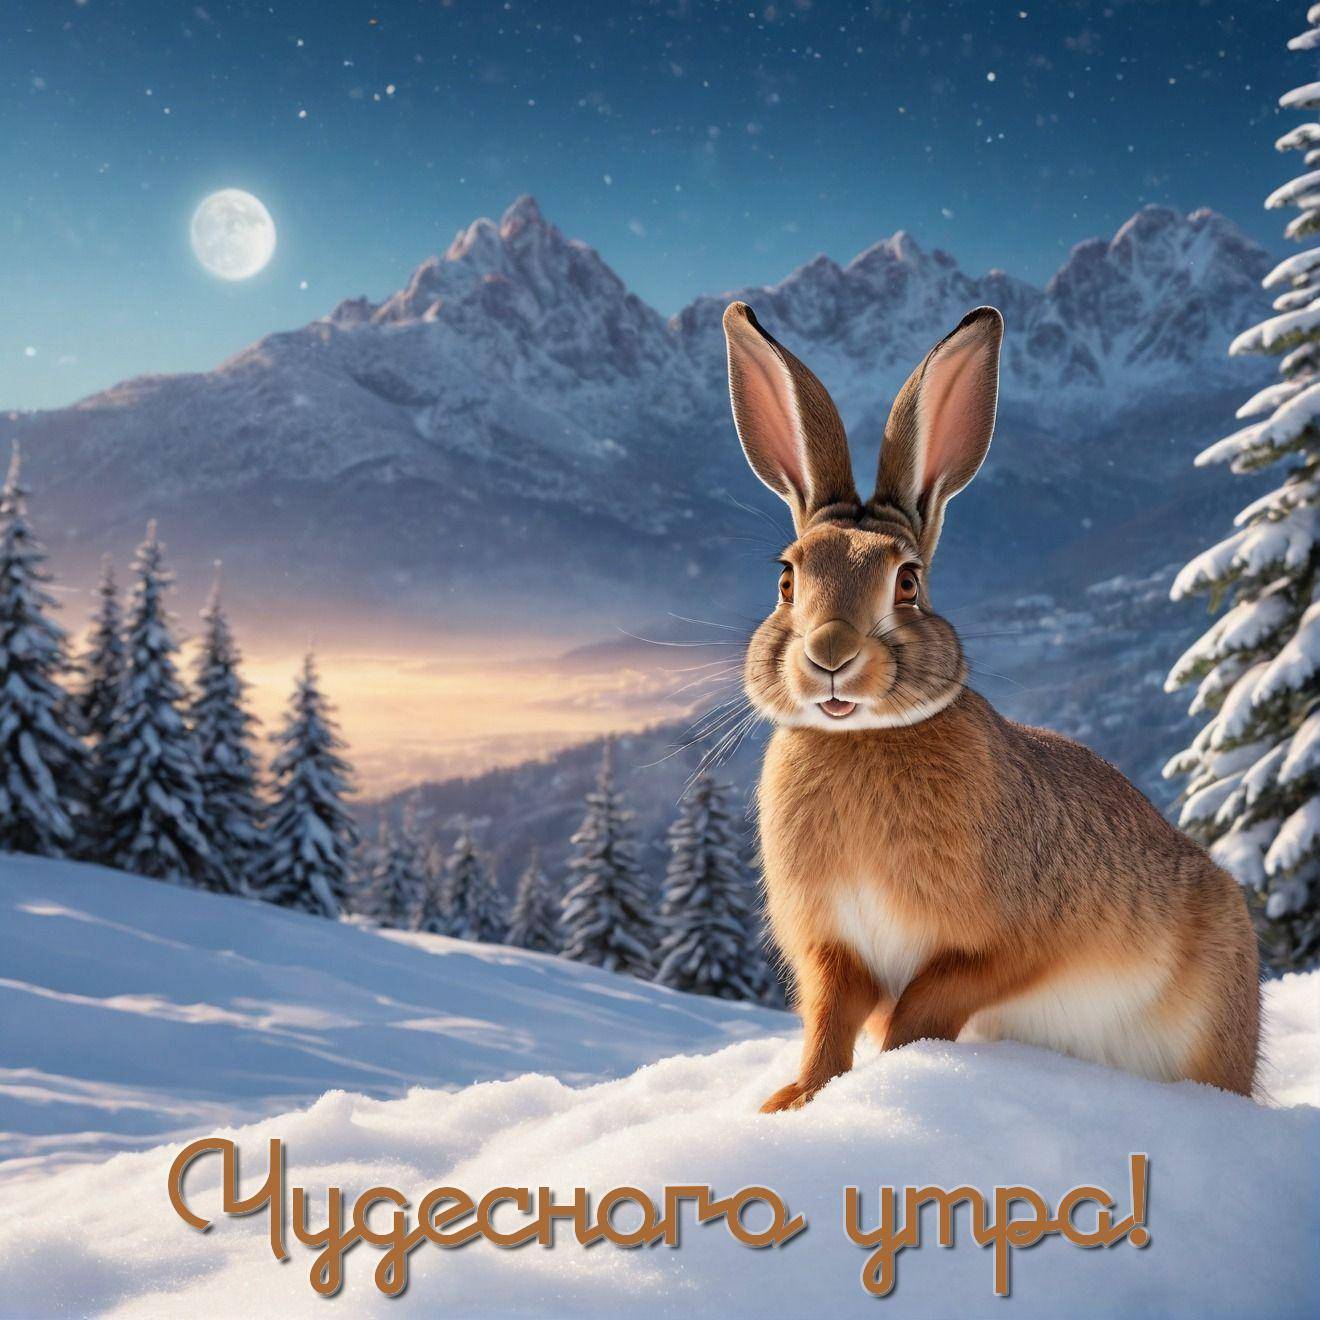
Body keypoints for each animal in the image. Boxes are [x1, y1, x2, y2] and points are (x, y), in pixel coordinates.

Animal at [721, 300, 1261, 1111]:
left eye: (907, 581)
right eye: (787, 579)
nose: (830, 655)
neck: (864, 738)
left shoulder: (1004, 946)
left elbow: (922, 1009)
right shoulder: (835, 950)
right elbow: (828, 1026)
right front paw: (794, 1102)